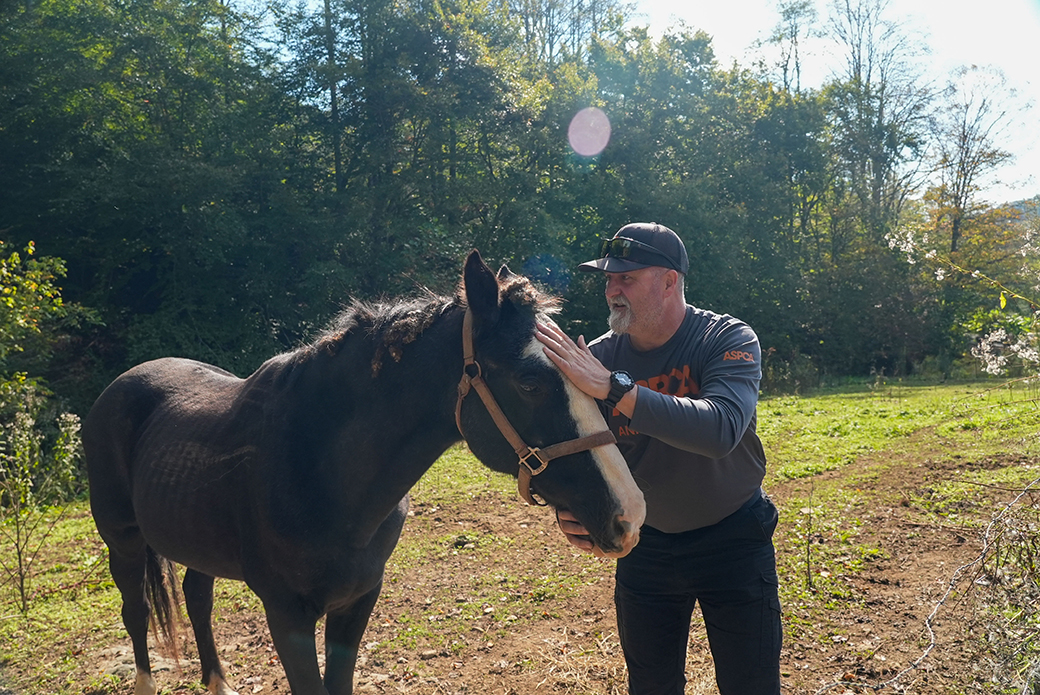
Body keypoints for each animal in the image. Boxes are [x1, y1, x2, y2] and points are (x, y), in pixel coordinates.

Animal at [87, 252, 640, 695]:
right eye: (530, 382)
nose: (630, 516)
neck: (320, 472)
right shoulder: (287, 615)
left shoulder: (356, 602)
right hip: (124, 542)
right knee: (136, 612)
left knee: (197, 598)